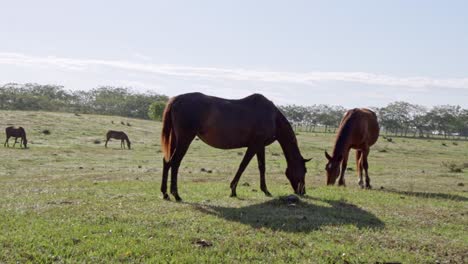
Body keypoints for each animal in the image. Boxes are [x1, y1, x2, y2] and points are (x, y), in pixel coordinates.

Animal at [161, 92, 310, 201]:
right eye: (304, 170)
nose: (303, 191)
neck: (273, 117)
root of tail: (176, 100)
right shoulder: (254, 145)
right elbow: (243, 166)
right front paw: (233, 190)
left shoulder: (260, 146)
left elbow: (262, 167)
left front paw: (265, 190)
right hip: (185, 139)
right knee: (175, 162)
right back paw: (176, 195)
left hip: (175, 139)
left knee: (167, 162)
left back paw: (165, 193)